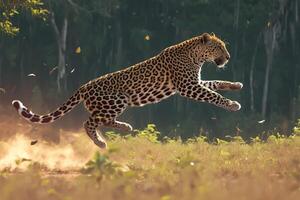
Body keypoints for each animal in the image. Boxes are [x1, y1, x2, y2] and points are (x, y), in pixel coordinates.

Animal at [11, 32, 243, 148]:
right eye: (219, 47)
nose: (229, 57)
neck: (196, 56)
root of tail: (83, 86)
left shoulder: (194, 83)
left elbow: (215, 83)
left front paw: (235, 86)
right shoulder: (188, 86)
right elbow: (213, 95)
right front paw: (232, 105)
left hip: (110, 105)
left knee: (101, 121)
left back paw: (124, 127)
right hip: (117, 100)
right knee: (89, 122)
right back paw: (101, 142)